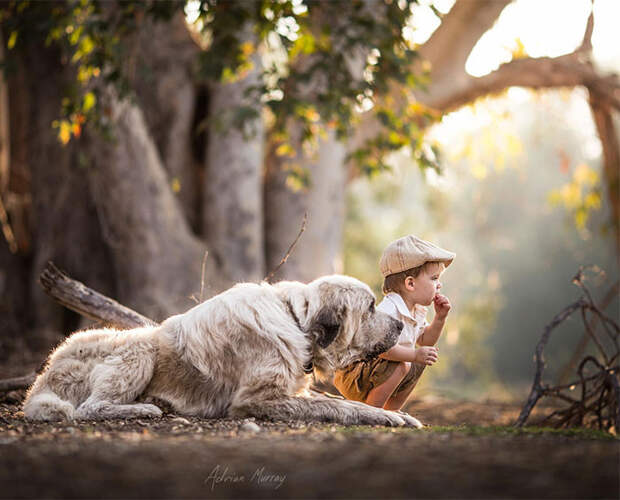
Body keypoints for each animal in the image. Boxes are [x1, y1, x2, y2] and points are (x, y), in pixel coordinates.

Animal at [24, 276, 422, 428]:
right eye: (370, 308)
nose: (400, 326)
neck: (295, 320)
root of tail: (44, 374)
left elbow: (342, 401)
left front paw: (399, 414)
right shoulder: (256, 399)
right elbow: (338, 405)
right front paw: (387, 416)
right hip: (138, 348)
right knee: (89, 408)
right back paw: (145, 408)